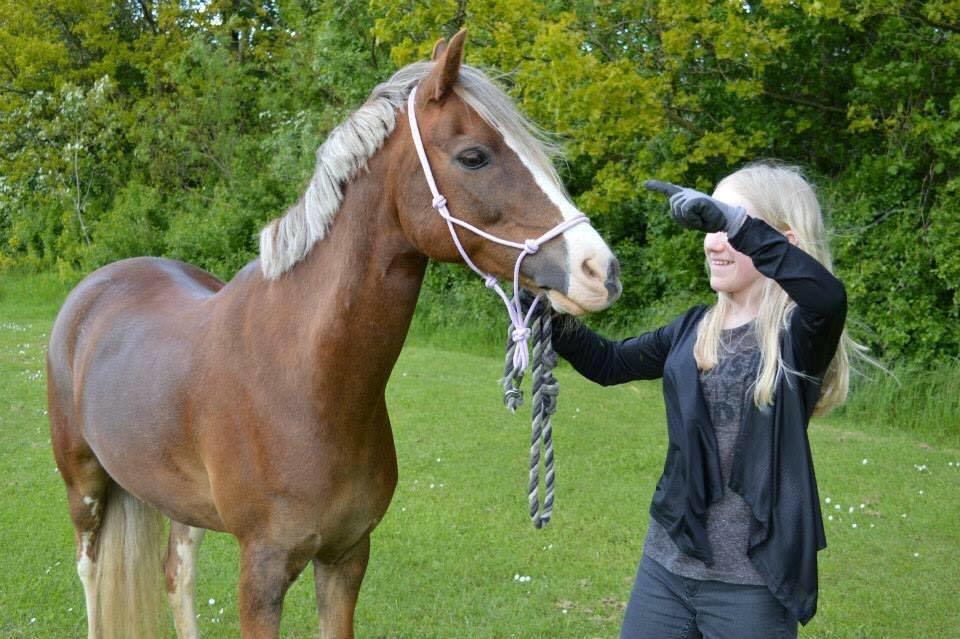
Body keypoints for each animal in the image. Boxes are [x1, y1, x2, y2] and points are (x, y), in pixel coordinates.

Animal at [47, 30, 621, 639]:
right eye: (474, 156)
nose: (601, 270)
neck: (307, 379)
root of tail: (97, 286)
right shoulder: (262, 573)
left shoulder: (347, 556)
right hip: (84, 487)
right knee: (90, 571)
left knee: (177, 574)